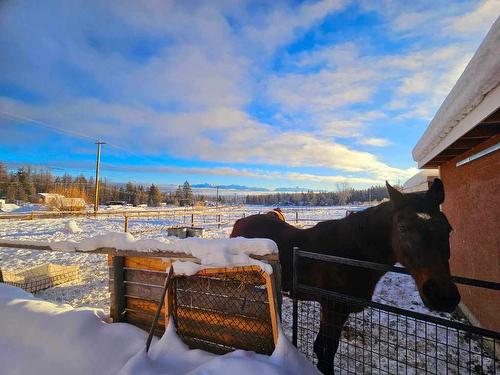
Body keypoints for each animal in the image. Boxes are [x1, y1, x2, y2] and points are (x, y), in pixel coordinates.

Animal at [231, 181, 460, 374]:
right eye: (403, 228)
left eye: (448, 229)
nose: (443, 296)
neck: (350, 255)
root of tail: (240, 222)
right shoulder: (333, 307)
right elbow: (326, 350)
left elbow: (322, 348)